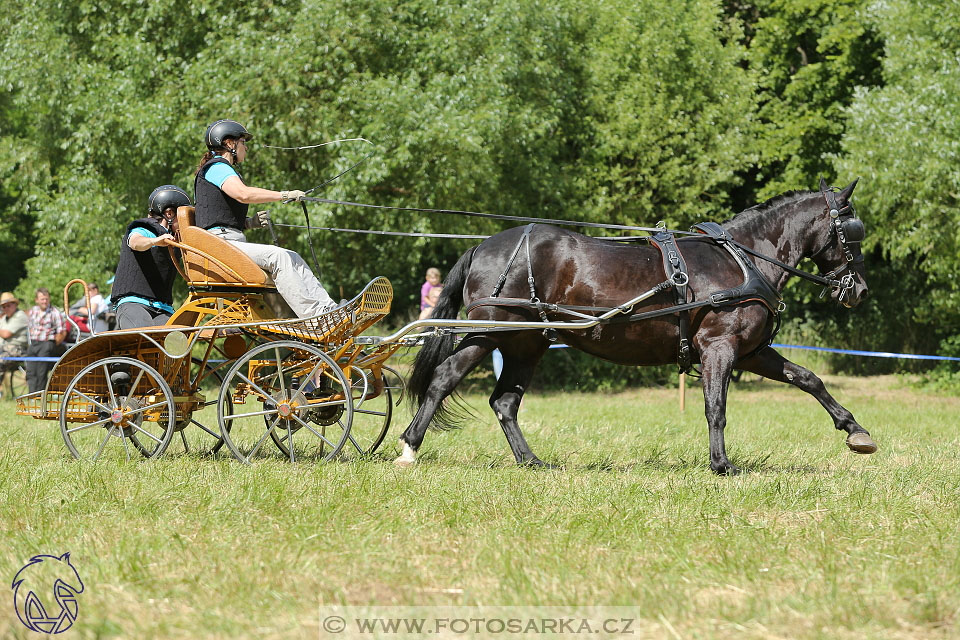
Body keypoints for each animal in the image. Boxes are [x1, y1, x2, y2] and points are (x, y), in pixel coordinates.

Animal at [396, 181, 876, 476]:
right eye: (851, 232)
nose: (859, 290)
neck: (742, 259)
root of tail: (481, 247)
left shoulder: (751, 351)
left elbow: (808, 379)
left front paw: (856, 431)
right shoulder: (719, 347)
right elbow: (716, 407)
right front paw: (722, 464)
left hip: (525, 345)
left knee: (504, 402)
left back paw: (531, 461)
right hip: (489, 332)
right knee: (444, 379)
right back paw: (408, 448)